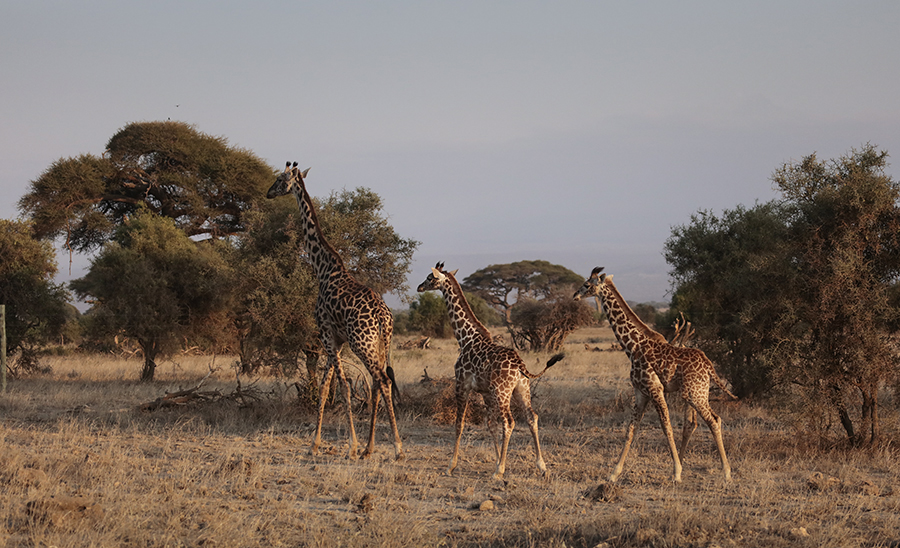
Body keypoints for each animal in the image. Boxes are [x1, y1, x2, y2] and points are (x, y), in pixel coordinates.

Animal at [266, 162, 402, 458]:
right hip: (380, 344)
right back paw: (370, 448)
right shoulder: (335, 341)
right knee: (378, 383)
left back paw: (396, 448)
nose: (268, 192)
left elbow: (342, 387)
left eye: (280, 178)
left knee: (382, 381)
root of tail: (383, 317)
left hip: (362, 343)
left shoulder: (326, 334)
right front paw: (314, 444)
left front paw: (350, 445)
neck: (324, 269)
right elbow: (325, 386)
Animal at [416, 264, 564, 482]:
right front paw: (495, 461)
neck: (465, 338)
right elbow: (490, 424)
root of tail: (520, 365)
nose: (419, 287)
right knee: (532, 417)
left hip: (503, 392)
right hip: (521, 389)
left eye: (429, 277)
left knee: (509, 422)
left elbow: (460, 423)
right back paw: (542, 467)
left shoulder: (462, 385)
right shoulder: (485, 391)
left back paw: (500, 471)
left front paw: (451, 466)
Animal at [572, 268, 736, 482]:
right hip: (696, 393)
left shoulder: (655, 388)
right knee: (703, 421)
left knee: (713, 420)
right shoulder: (641, 392)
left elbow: (666, 427)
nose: (575, 295)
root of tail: (709, 366)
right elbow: (631, 430)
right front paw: (614, 474)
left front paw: (677, 472)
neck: (632, 346)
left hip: (695, 394)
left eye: (586, 284)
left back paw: (726, 472)